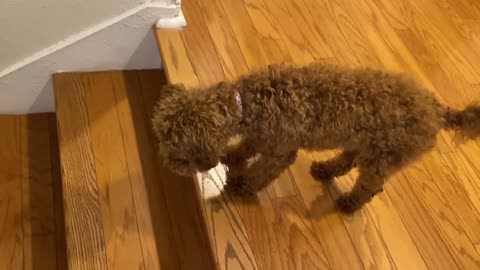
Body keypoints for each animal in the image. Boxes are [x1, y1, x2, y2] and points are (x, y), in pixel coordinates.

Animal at [153, 63, 480, 213]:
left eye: (177, 152)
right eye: (161, 134)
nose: (166, 164)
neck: (245, 103)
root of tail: (438, 109)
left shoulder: (281, 152)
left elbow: (260, 172)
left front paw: (241, 186)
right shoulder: (262, 138)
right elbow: (245, 148)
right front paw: (233, 158)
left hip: (381, 159)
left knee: (372, 186)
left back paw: (350, 203)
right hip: (361, 143)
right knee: (347, 161)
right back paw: (325, 169)